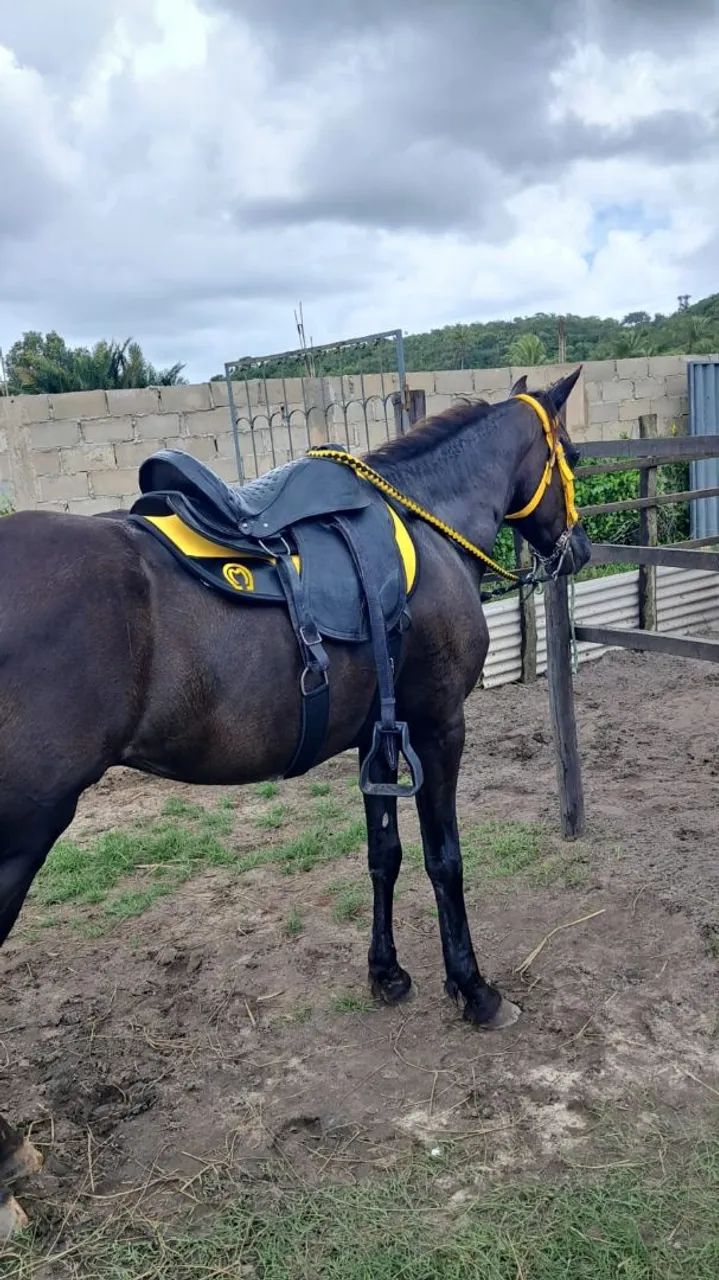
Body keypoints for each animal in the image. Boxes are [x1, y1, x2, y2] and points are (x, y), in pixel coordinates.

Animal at [0, 368, 590, 1234]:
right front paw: (473, 990)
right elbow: (443, 861)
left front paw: (387, 975)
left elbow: (383, 857)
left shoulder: (377, 737)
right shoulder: (437, 728)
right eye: (571, 455)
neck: (426, 520)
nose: (578, 550)